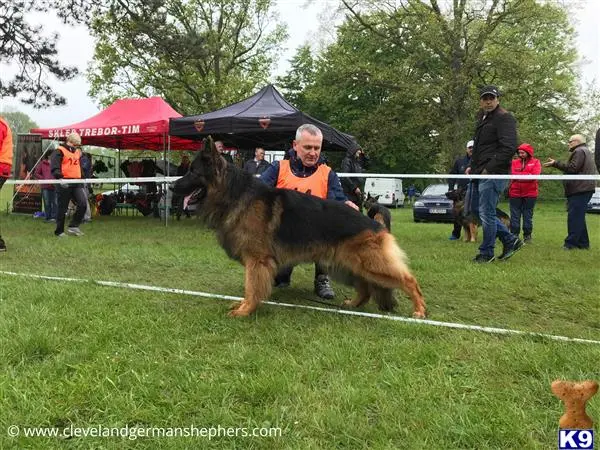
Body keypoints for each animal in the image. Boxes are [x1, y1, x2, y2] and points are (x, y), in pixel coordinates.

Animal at [171, 139, 426, 318]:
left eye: (193, 171)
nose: (172, 187)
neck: (233, 194)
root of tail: (375, 223)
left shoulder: (257, 261)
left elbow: (251, 288)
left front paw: (246, 310)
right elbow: (249, 287)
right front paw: (244, 306)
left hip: (371, 265)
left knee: (408, 280)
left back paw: (420, 310)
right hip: (347, 265)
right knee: (365, 289)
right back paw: (353, 305)